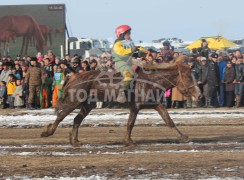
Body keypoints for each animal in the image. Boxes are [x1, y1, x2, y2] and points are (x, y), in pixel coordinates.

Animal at [40, 56, 200, 146]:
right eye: (188, 77)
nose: (198, 95)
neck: (150, 81)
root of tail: (75, 75)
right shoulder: (135, 107)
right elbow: (130, 124)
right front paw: (129, 140)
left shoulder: (155, 104)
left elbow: (168, 120)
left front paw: (184, 137)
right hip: (73, 101)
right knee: (61, 115)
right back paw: (48, 132)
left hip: (88, 105)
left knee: (76, 120)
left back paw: (75, 141)